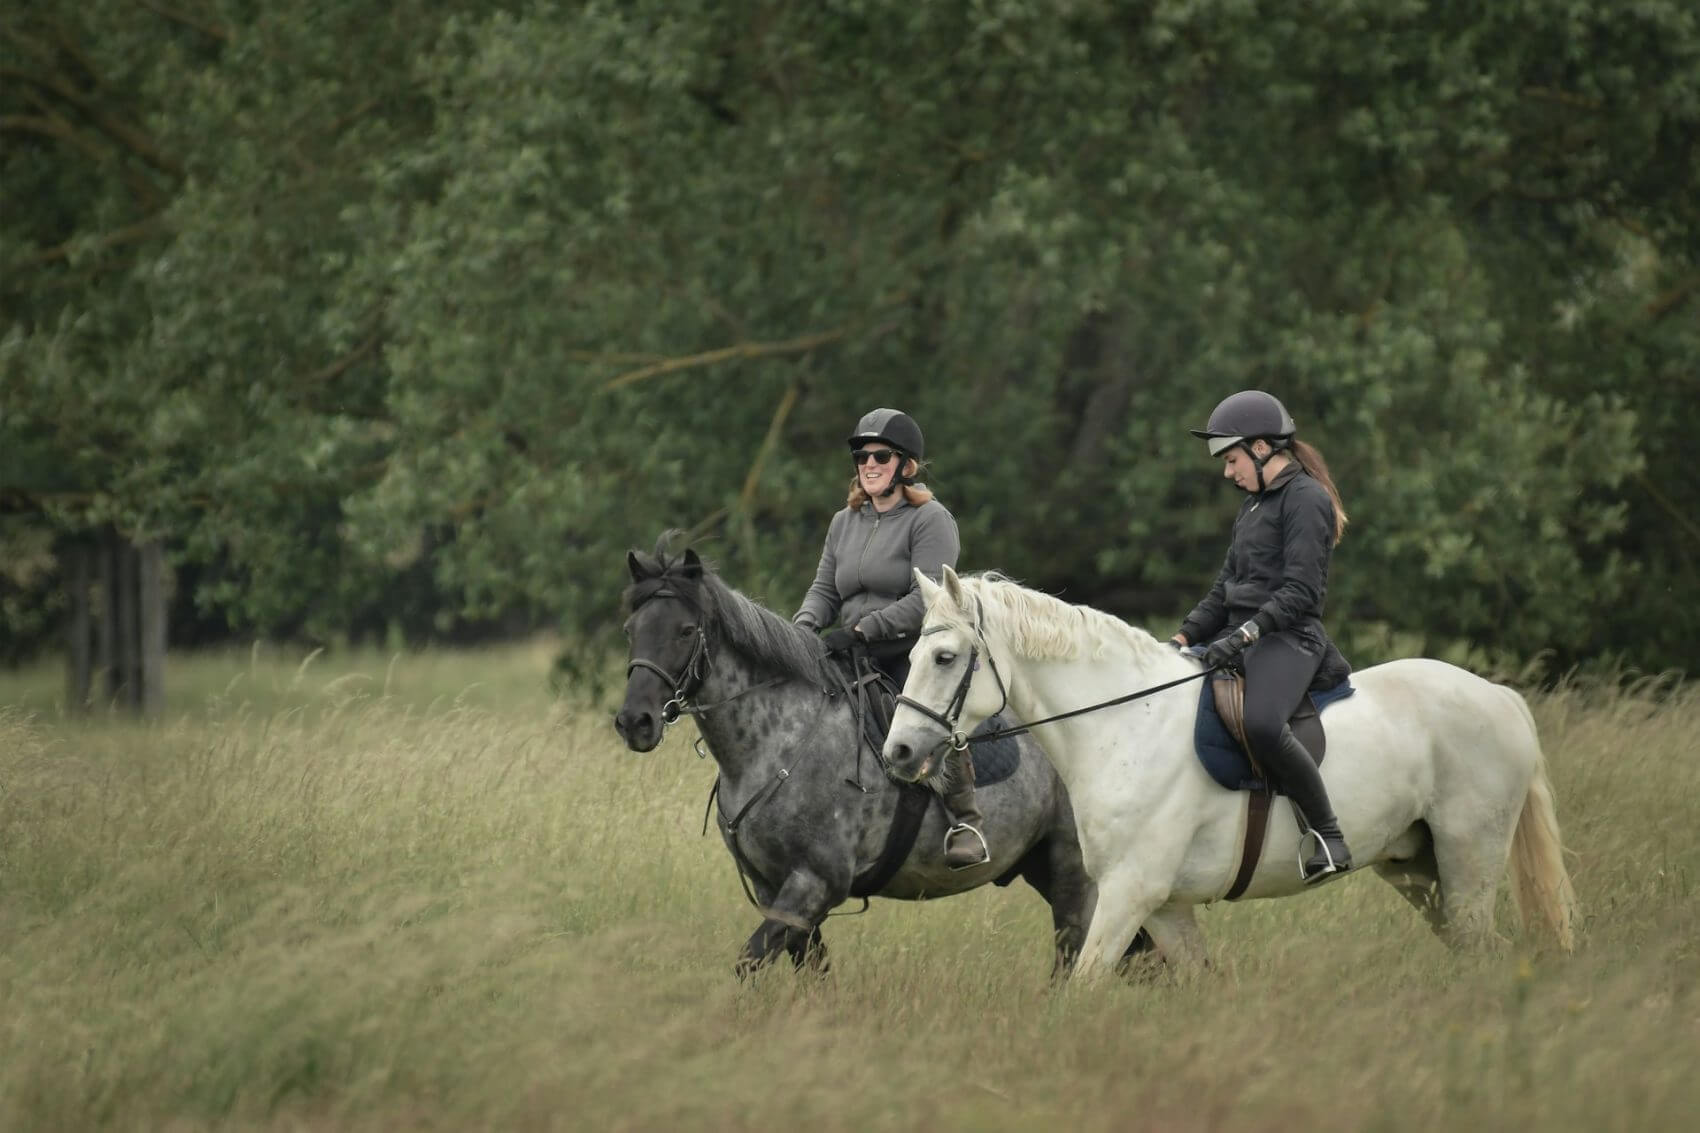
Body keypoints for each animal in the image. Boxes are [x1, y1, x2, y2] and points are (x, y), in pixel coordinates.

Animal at [612, 538, 1152, 977]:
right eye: (631, 628)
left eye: (686, 630)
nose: (635, 722)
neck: (778, 744)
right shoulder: (776, 889)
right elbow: (810, 972)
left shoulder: (813, 884)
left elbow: (750, 961)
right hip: (1043, 867)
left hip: (1072, 873)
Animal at [881, 566, 1579, 980]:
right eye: (911, 654)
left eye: (944, 658)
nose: (899, 754)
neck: (1125, 724)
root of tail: (1500, 696)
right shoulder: (1163, 906)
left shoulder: (1129, 893)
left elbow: (1085, 983)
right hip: (1417, 868)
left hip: (1468, 861)